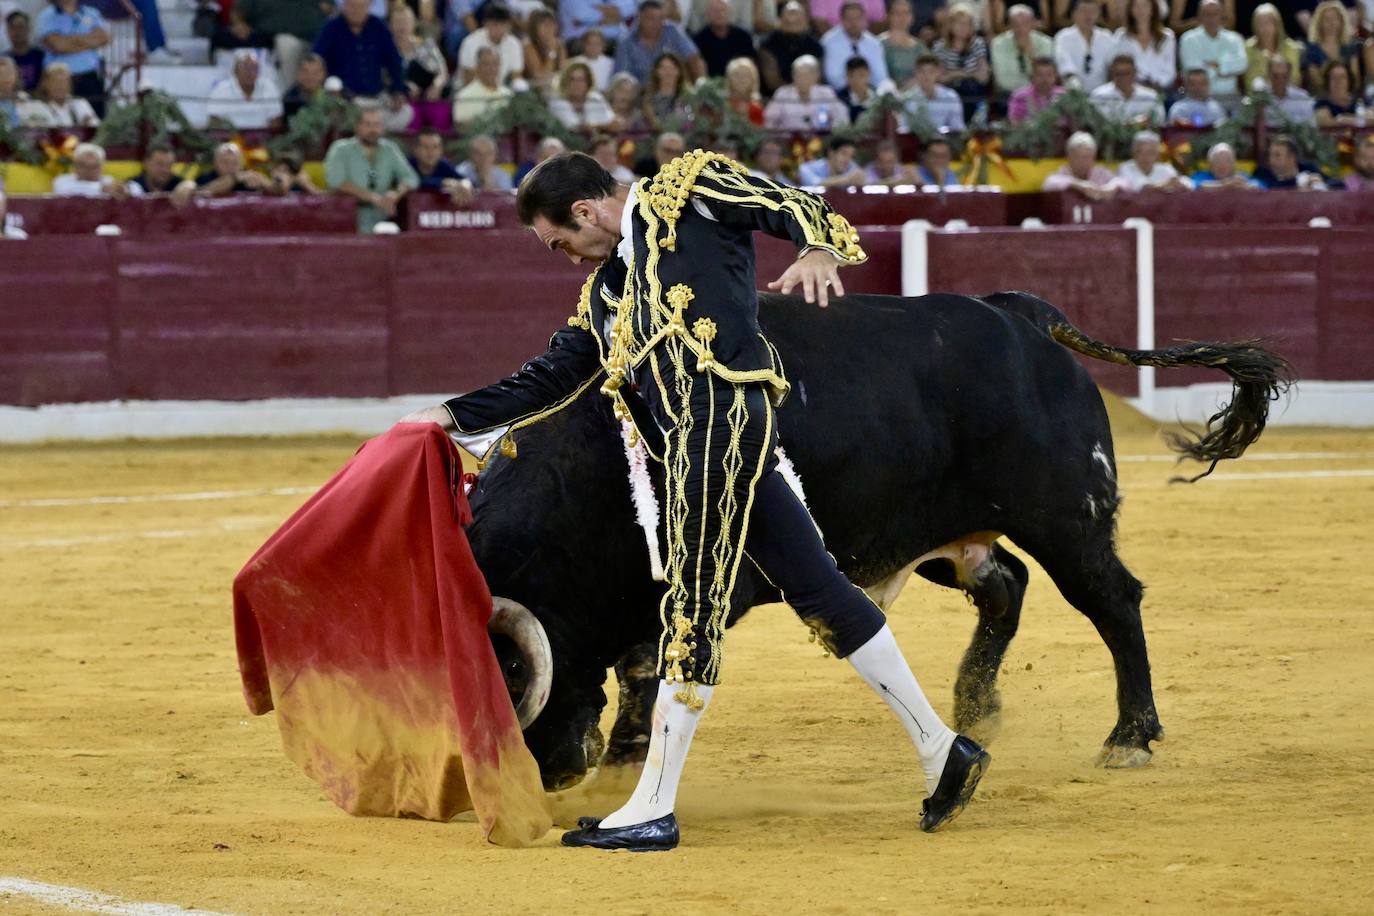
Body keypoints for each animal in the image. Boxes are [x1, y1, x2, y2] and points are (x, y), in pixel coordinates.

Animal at [464, 292, 1286, 791]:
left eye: (512, 682)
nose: (548, 774)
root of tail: (1018, 315)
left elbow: (650, 659)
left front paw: (630, 756)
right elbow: (638, 659)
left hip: (1064, 517)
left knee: (1112, 600)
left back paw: (1130, 737)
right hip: (943, 538)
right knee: (1006, 586)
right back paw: (975, 706)